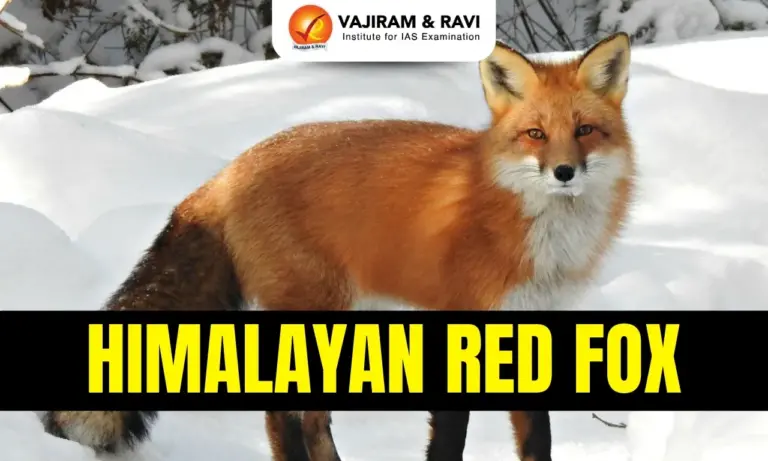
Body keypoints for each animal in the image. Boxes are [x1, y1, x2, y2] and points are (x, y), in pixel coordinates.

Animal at [41, 32, 635, 461]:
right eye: (536, 134)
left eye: (585, 130)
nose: (563, 173)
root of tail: (227, 172)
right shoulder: (460, 320)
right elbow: (450, 440)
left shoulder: (532, 327)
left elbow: (538, 441)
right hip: (315, 314)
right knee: (284, 418)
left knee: (310, 421)